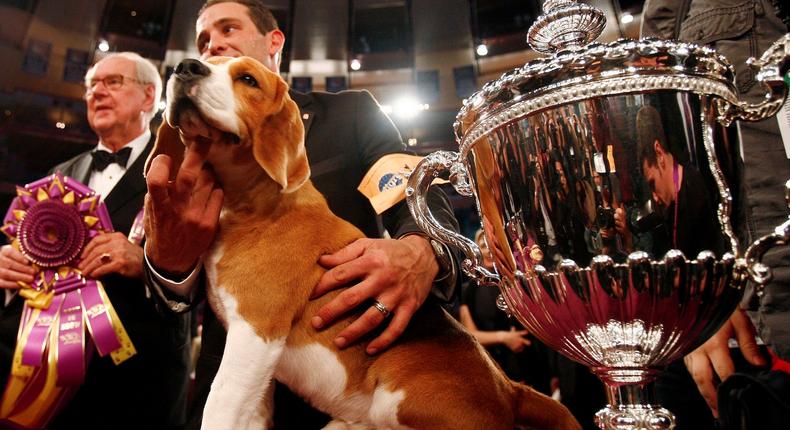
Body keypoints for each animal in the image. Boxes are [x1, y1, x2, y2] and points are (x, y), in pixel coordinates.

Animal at [150, 57, 580, 430]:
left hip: (394, 400)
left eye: (248, 80)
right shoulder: (256, 363)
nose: (186, 67)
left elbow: (218, 404)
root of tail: (511, 390)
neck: (252, 203)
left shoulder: (255, 332)